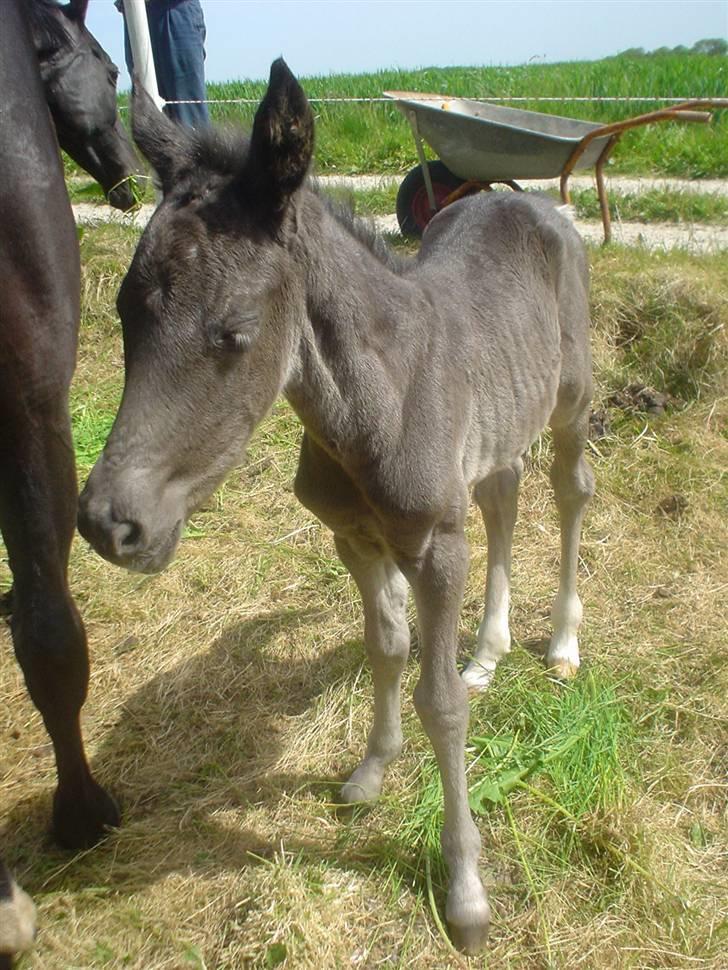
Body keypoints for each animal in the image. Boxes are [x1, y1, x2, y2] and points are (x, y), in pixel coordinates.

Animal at [79, 60, 596, 952]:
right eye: (123, 309)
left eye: (234, 333)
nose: (110, 523)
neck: (372, 405)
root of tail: (531, 201)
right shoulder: (354, 538)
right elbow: (386, 648)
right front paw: (369, 771)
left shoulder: (433, 546)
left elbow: (440, 703)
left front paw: (466, 892)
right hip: (497, 429)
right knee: (503, 501)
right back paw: (488, 650)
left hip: (570, 401)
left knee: (568, 495)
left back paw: (560, 642)